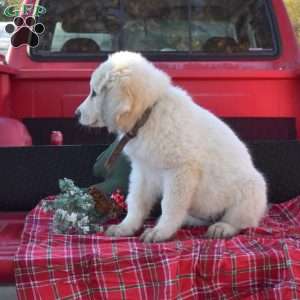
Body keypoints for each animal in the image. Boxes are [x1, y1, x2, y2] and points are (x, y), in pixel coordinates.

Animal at [75, 51, 268, 243]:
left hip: (252, 190)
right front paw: (126, 227)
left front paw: (161, 232)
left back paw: (223, 227)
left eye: (94, 93)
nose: (76, 114)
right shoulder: (142, 170)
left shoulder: (180, 171)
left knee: (241, 221)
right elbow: (136, 200)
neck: (148, 115)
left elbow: (169, 204)